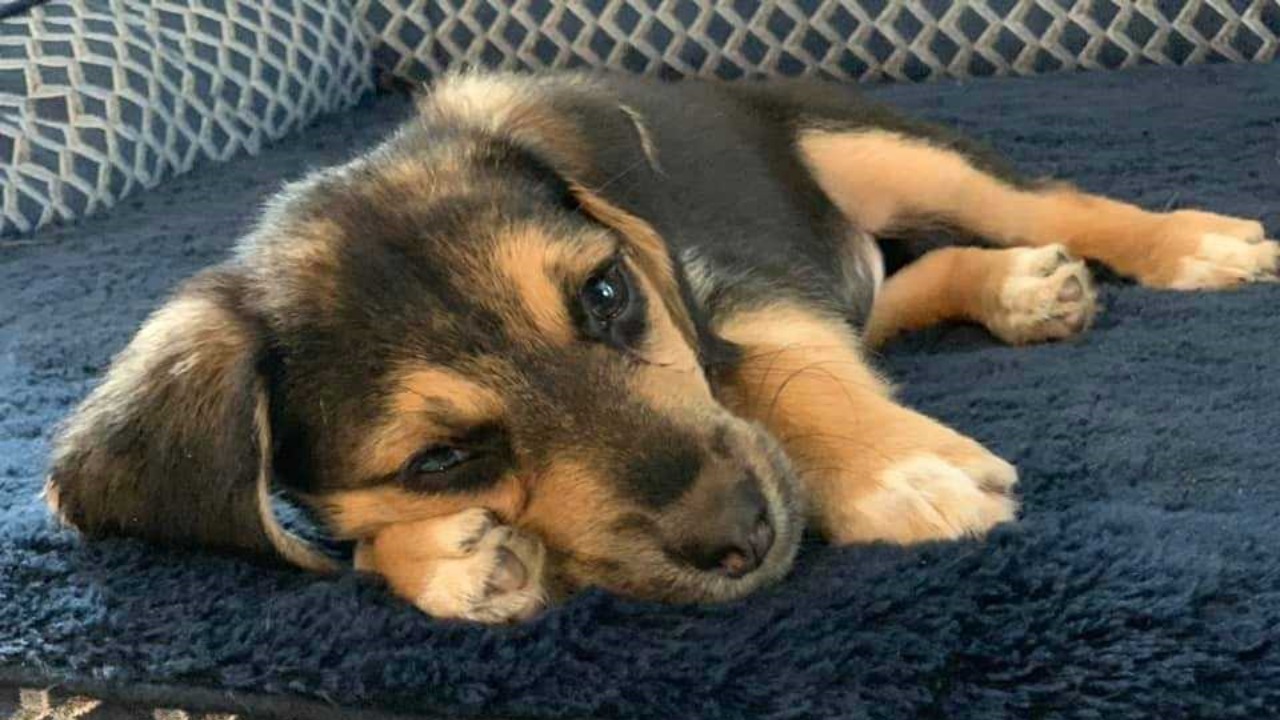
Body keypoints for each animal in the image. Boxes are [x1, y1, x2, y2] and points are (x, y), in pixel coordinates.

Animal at [42, 74, 1280, 622]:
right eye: (439, 461)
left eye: (604, 294)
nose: (744, 535)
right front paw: (444, 558)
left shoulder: (732, 298)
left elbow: (784, 378)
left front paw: (897, 473)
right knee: (893, 284)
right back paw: (1018, 289)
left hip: (875, 152)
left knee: (1044, 203)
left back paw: (1186, 244)